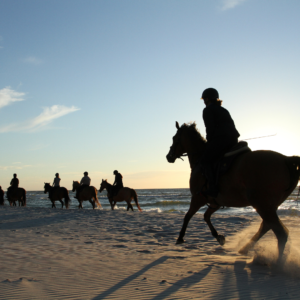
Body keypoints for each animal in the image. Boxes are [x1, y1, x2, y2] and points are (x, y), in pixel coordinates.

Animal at [166, 122, 300, 260]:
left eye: (174, 138)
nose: (168, 156)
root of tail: (286, 159)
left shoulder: (198, 198)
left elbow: (187, 216)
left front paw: (180, 238)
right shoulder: (215, 202)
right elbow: (206, 216)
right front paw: (219, 237)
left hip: (262, 205)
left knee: (280, 232)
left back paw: (277, 262)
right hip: (269, 206)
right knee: (267, 226)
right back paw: (245, 249)